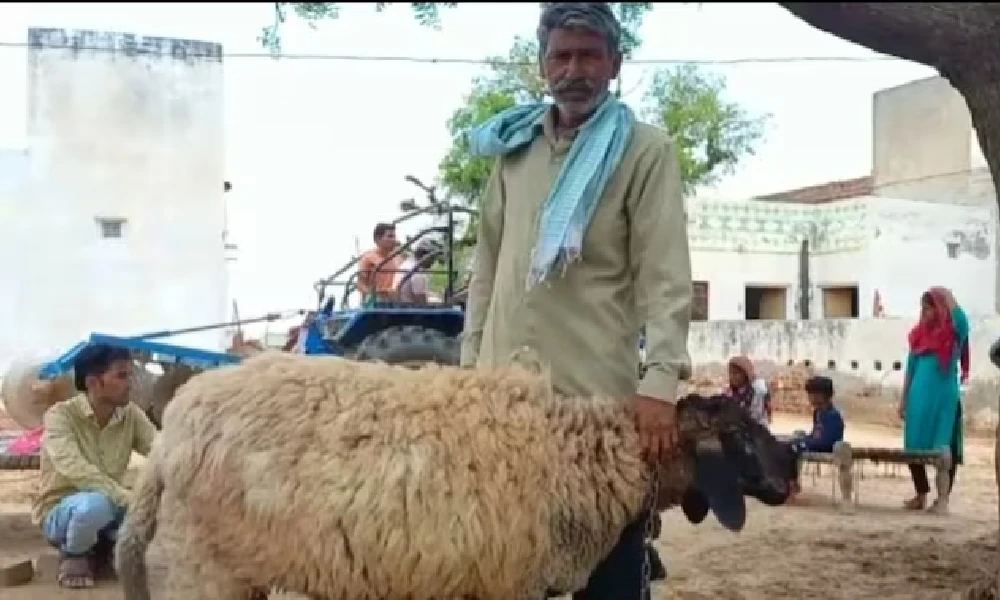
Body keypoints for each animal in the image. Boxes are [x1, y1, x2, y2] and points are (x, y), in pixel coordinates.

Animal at [113, 352, 792, 600]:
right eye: (736, 432)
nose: (790, 470)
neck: (583, 451)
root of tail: (171, 433)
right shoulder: (506, 584)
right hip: (206, 570)